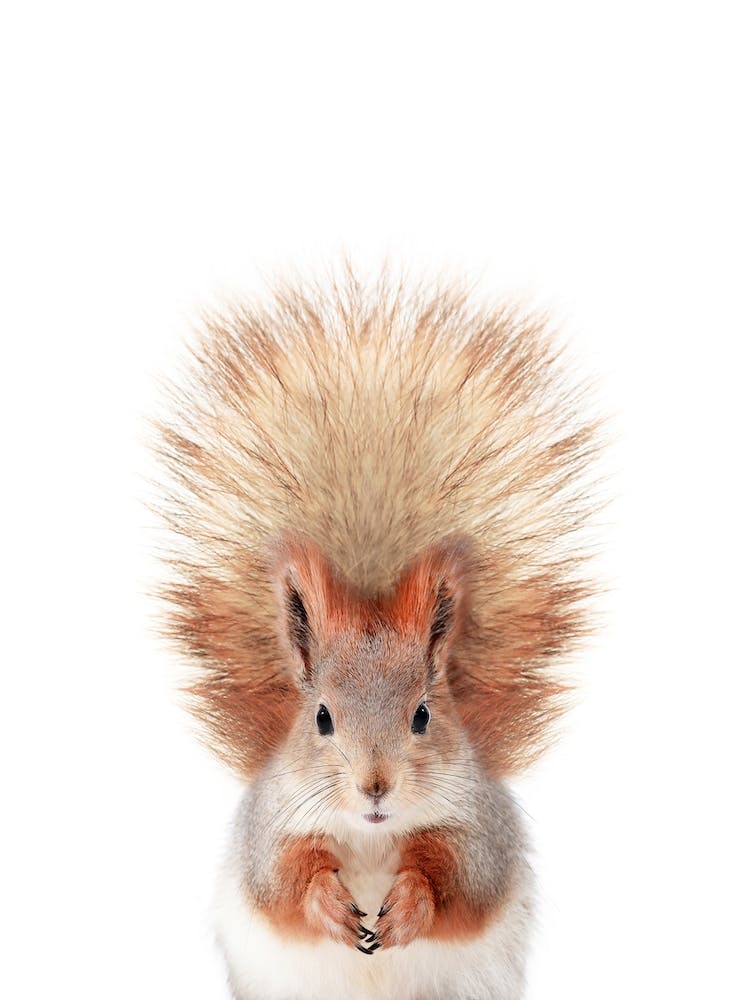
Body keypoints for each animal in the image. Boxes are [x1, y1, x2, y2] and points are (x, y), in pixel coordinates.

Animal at [154, 269, 600, 1000]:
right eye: (321, 718)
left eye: (423, 715)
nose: (375, 786)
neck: (368, 836)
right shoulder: (270, 831)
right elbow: (284, 883)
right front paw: (328, 905)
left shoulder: (478, 832)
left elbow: (457, 882)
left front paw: (410, 904)